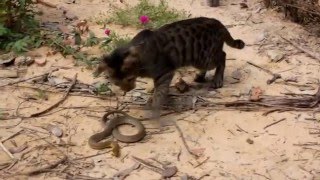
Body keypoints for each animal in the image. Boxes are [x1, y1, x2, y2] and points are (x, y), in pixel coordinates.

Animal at [95, 16, 245, 121]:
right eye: (116, 83)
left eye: (130, 79)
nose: (127, 90)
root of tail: (217, 22)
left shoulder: (165, 73)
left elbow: (160, 92)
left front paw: (155, 106)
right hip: (200, 60)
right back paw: (200, 76)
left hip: (205, 58)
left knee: (222, 56)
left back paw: (217, 79)